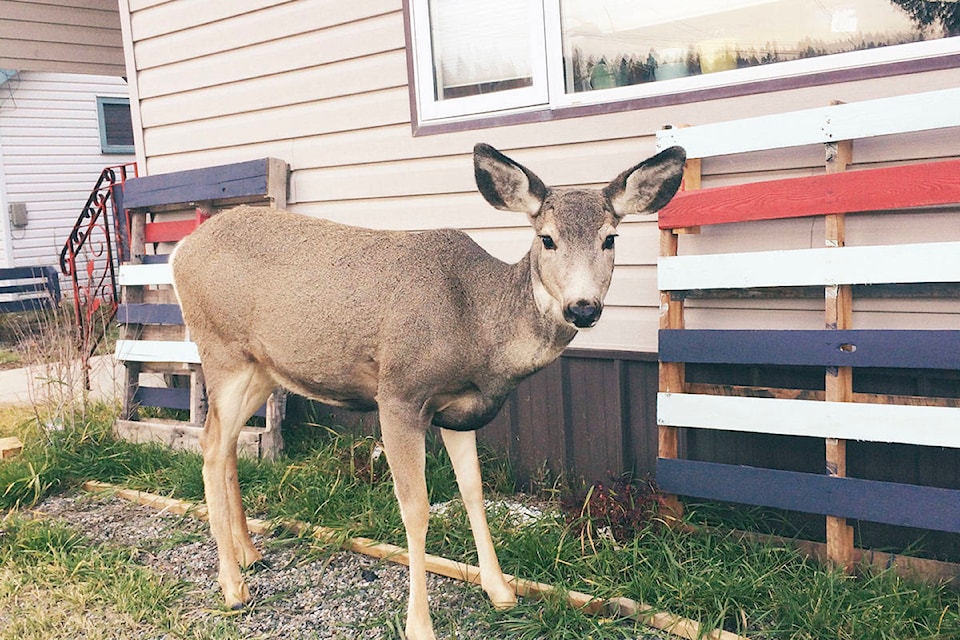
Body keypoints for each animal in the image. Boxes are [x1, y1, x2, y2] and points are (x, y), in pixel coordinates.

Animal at [171, 142, 684, 636]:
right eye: (547, 238)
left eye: (610, 238)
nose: (582, 307)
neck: (477, 325)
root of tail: (179, 251)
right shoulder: (399, 394)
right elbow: (416, 509)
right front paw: (419, 624)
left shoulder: (459, 410)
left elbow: (473, 491)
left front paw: (500, 590)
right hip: (222, 350)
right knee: (210, 445)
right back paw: (232, 585)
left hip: (262, 370)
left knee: (228, 442)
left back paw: (249, 553)